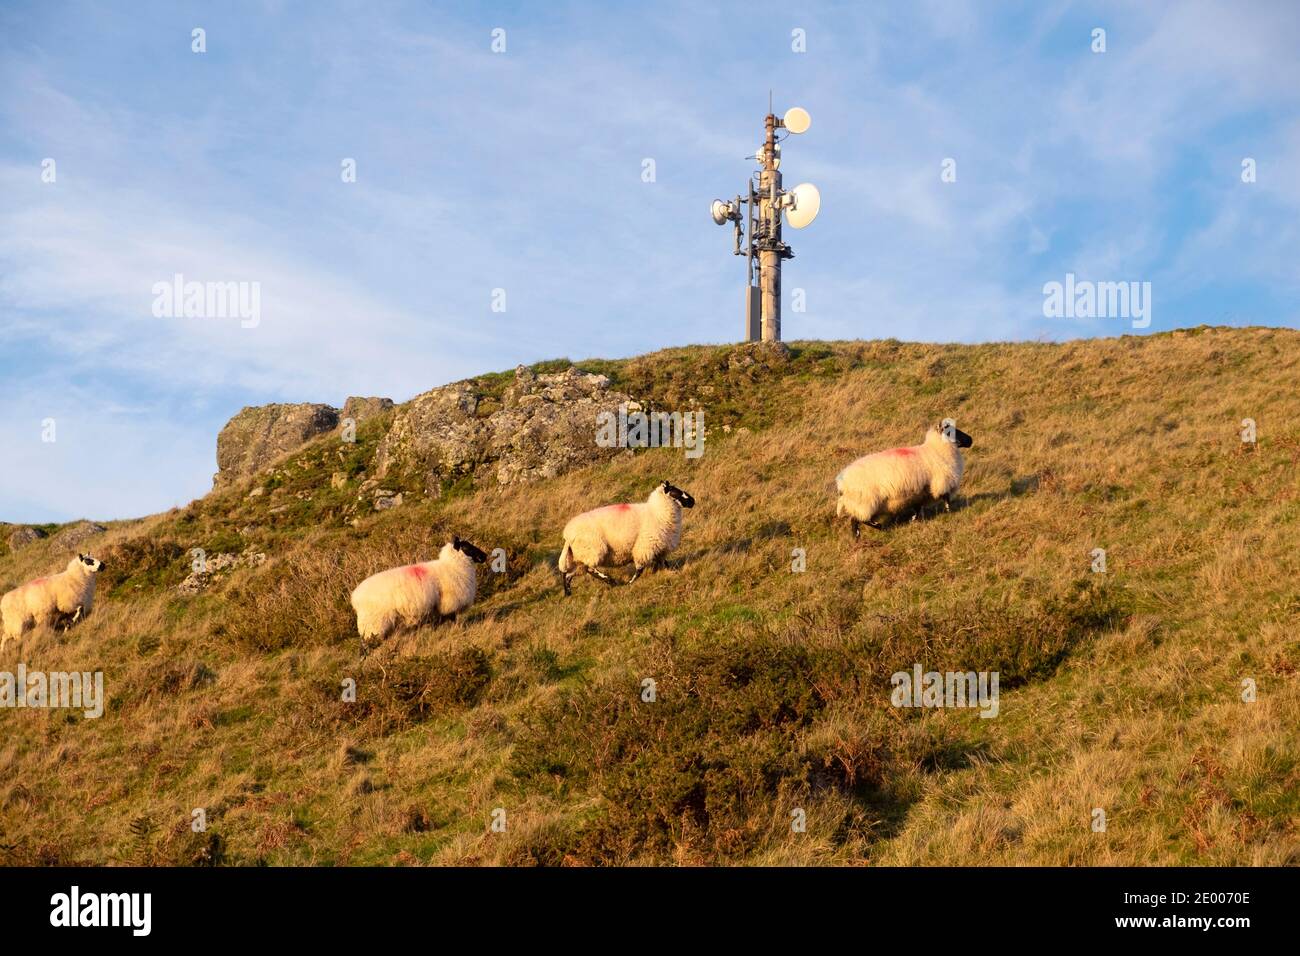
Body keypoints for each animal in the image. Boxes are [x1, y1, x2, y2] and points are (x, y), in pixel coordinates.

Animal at [348, 538, 486, 650]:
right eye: (466, 547)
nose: (484, 556)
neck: (452, 566)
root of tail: (355, 597)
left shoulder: (435, 607)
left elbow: (438, 623)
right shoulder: (449, 604)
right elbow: (451, 619)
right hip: (374, 624)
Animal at [561, 476, 702, 590]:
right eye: (675, 493)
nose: (692, 501)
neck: (656, 513)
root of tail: (567, 534)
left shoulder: (658, 547)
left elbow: (664, 563)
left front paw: (672, 572)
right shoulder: (645, 546)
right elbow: (639, 569)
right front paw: (630, 583)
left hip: (582, 555)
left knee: (572, 573)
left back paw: (569, 592)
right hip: (593, 550)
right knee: (589, 569)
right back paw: (610, 581)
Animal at [832, 421, 977, 538]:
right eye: (952, 431)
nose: (970, 440)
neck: (936, 449)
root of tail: (841, 482)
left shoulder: (920, 492)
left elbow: (918, 508)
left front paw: (914, 520)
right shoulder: (942, 482)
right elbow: (946, 499)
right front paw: (949, 512)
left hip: (859, 503)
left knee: (854, 521)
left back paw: (857, 539)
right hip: (865, 502)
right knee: (859, 519)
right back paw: (878, 527)